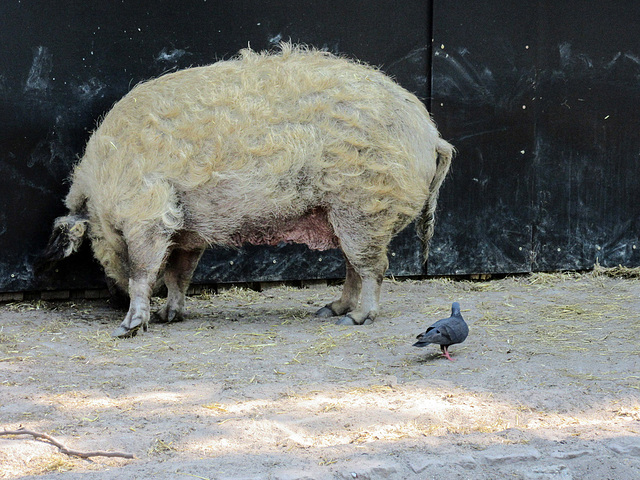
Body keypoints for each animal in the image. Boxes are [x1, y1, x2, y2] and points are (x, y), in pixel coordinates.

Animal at [40, 45, 452, 338]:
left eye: (95, 243)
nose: (113, 297)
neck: (104, 183)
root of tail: (432, 134)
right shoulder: (187, 232)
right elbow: (177, 276)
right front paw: (169, 316)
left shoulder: (149, 214)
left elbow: (144, 271)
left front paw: (128, 328)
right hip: (345, 214)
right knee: (354, 266)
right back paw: (329, 310)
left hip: (364, 207)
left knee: (373, 267)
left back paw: (355, 320)